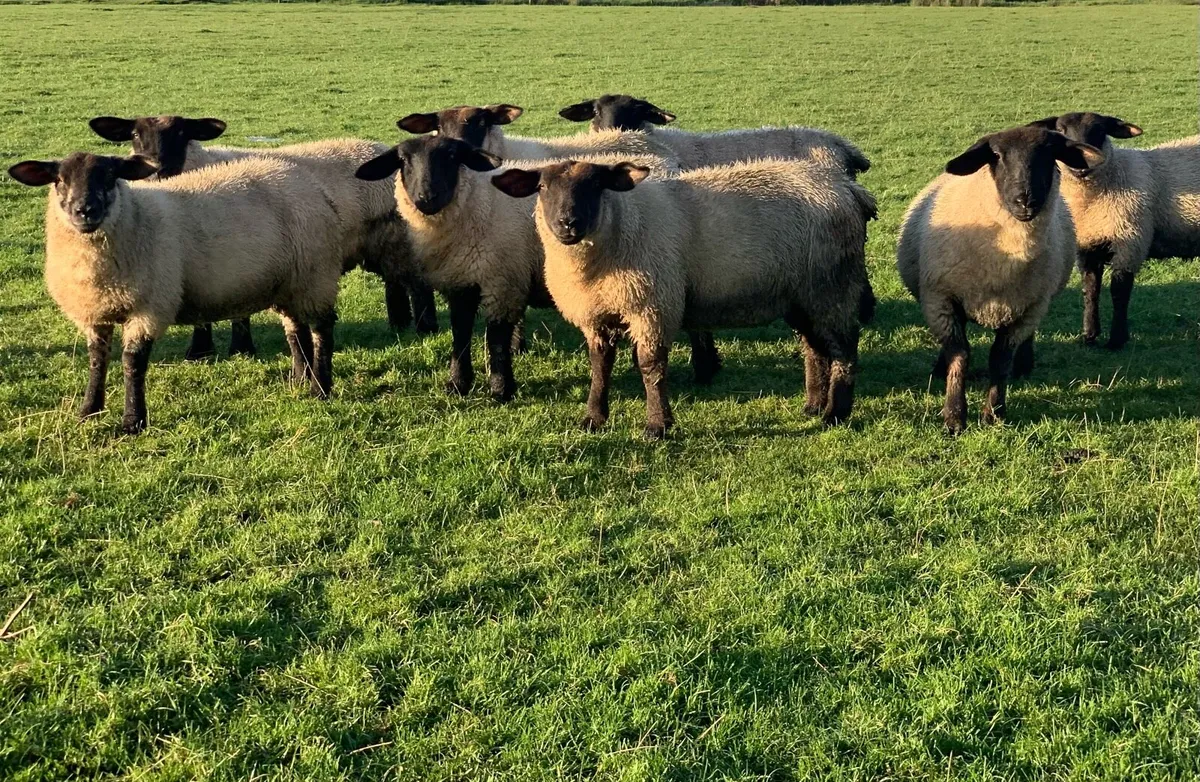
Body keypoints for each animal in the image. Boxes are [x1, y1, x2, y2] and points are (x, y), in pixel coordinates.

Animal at [7, 152, 353, 434]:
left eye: (110, 176)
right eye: (59, 180)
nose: (85, 211)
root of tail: (315, 188)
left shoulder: (149, 307)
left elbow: (132, 363)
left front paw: (133, 422)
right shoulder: (94, 312)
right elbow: (97, 360)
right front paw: (89, 411)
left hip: (316, 276)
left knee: (323, 330)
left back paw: (321, 388)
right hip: (288, 284)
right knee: (297, 331)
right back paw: (301, 381)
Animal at [88, 115, 438, 356]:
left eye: (181, 134)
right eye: (135, 135)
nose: (156, 167)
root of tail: (379, 148)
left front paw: (239, 348)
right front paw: (200, 351)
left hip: (396, 237)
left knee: (417, 284)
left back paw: (425, 329)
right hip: (379, 243)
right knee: (395, 283)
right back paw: (399, 324)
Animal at [491, 157, 876, 439]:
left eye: (596, 186)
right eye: (542, 187)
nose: (567, 223)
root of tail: (848, 188)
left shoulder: (653, 306)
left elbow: (651, 368)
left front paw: (657, 426)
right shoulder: (597, 314)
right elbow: (600, 366)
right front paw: (593, 419)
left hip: (832, 285)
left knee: (844, 349)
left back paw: (835, 414)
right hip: (801, 294)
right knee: (815, 348)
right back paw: (812, 406)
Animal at [896, 126, 1104, 434]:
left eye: (1050, 153)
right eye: (995, 155)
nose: (1025, 200)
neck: (1008, 257)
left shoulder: (1027, 309)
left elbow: (1000, 358)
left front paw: (994, 414)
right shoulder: (941, 300)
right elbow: (960, 355)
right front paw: (954, 417)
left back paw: (1024, 366)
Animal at [1026, 113, 1200, 349]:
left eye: (1099, 130)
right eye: (1061, 131)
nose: (1081, 165)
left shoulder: (1129, 241)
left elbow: (1119, 292)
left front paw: (1117, 339)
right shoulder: (1088, 247)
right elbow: (1090, 290)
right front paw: (1089, 336)